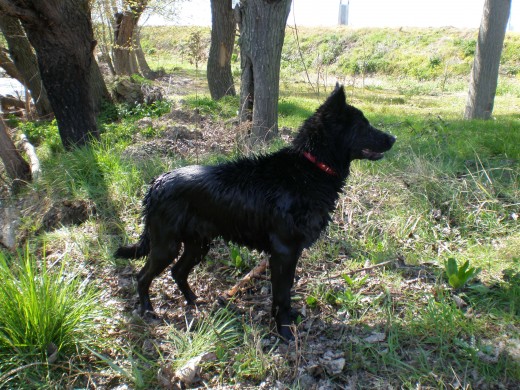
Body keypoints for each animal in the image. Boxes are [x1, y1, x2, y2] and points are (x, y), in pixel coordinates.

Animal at [117, 84, 394, 338]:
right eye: (363, 125)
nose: (393, 139)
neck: (310, 169)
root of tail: (157, 183)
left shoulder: (289, 253)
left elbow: (286, 292)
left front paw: (289, 319)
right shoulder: (283, 251)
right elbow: (281, 295)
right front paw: (284, 331)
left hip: (198, 244)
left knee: (177, 272)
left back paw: (194, 301)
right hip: (166, 245)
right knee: (143, 276)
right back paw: (148, 310)